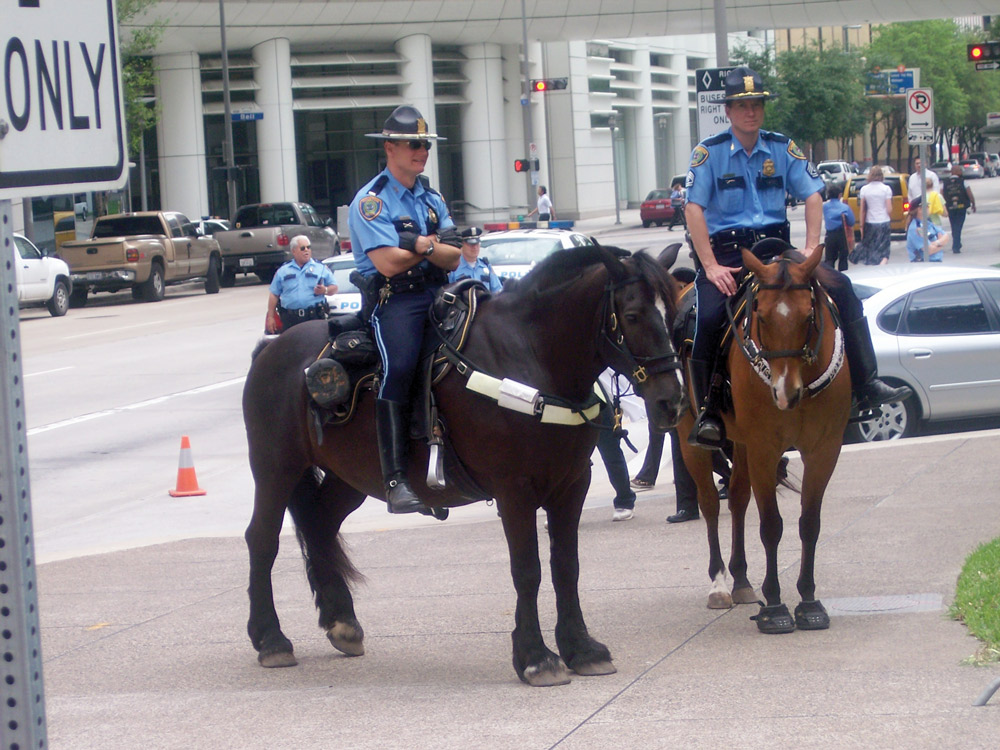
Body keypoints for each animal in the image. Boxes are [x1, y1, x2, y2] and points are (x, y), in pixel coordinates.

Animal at [242, 247, 688, 688]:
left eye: (672, 314)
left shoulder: (572, 484)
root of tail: (271, 348)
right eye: (632, 315)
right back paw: (270, 638)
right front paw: (536, 657)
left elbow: (567, 567)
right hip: (275, 468)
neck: (533, 357)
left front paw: (581, 648)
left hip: (349, 477)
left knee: (319, 525)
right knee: (262, 539)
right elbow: (527, 570)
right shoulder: (515, 490)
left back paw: (342, 622)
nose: (670, 401)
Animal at [672, 247, 852, 636]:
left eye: (809, 315)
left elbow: (809, 523)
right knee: (711, 504)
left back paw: (740, 580)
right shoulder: (764, 449)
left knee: (738, 500)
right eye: (762, 317)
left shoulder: (824, 450)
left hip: (740, 444)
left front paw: (809, 600)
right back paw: (719, 583)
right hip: (690, 435)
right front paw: (775, 606)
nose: (786, 393)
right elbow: (771, 526)